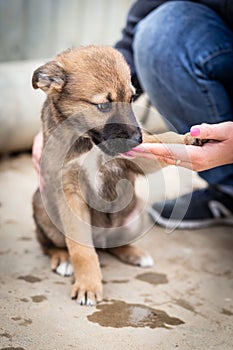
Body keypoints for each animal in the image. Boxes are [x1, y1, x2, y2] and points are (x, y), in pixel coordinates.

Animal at [31, 45, 195, 304]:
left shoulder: (132, 160)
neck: (88, 143)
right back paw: (62, 258)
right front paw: (88, 284)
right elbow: (81, 250)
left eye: (131, 99)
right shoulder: (69, 190)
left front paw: (190, 139)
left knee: (115, 245)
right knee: (49, 245)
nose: (137, 139)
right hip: (41, 206)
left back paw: (134, 253)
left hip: (136, 216)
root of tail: (101, 239)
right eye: (103, 105)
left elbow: (163, 140)